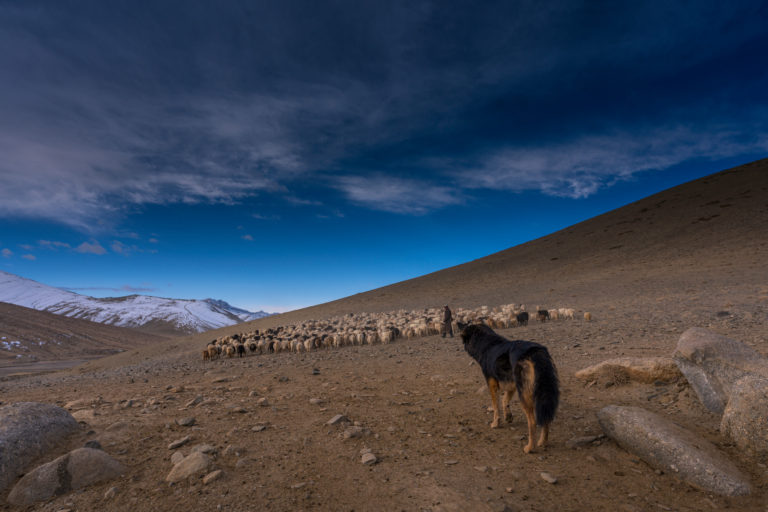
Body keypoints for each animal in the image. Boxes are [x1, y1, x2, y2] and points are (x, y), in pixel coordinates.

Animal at [456, 322, 560, 454]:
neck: (486, 343)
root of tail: (535, 351)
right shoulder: (511, 384)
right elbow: (505, 399)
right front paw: (508, 416)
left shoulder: (492, 383)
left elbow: (496, 406)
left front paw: (496, 423)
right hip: (542, 392)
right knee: (546, 418)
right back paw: (543, 441)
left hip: (525, 394)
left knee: (532, 422)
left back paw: (530, 447)